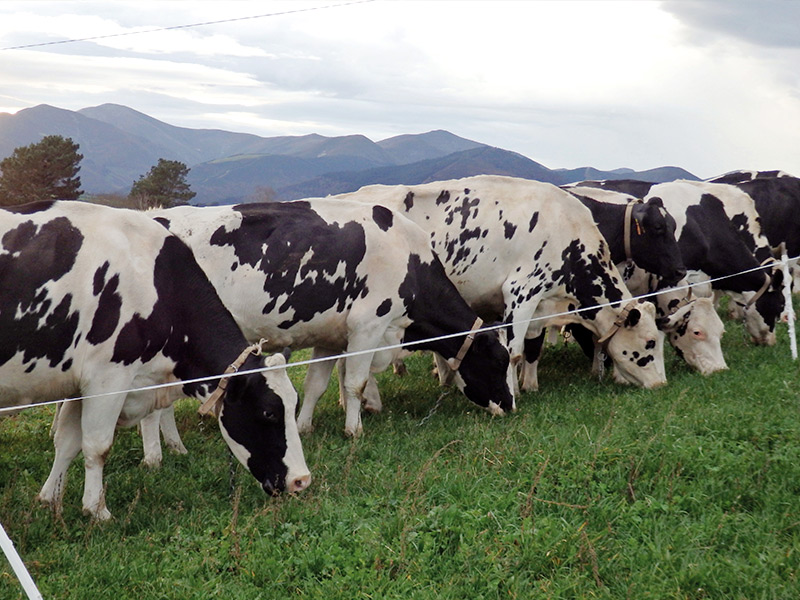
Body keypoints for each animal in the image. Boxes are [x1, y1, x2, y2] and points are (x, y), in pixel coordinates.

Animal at [0, 200, 310, 521]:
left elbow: (67, 442)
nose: (301, 480)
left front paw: (50, 499)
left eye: (293, 405)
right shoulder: (108, 378)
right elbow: (97, 446)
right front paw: (98, 511)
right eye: (268, 412)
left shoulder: (78, 385)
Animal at [151, 200, 513, 438]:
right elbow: (356, 383)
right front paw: (354, 430)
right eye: (499, 361)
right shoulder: (368, 326)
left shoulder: (329, 337)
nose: (510, 406)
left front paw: (303, 426)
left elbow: (315, 385)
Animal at [331, 175, 667, 393]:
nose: (660, 383)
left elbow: (533, 347)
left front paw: (529, 385)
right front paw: (516, 391)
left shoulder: (541, 307)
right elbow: (516, 350)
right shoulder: (521, 292)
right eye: (650, 342)